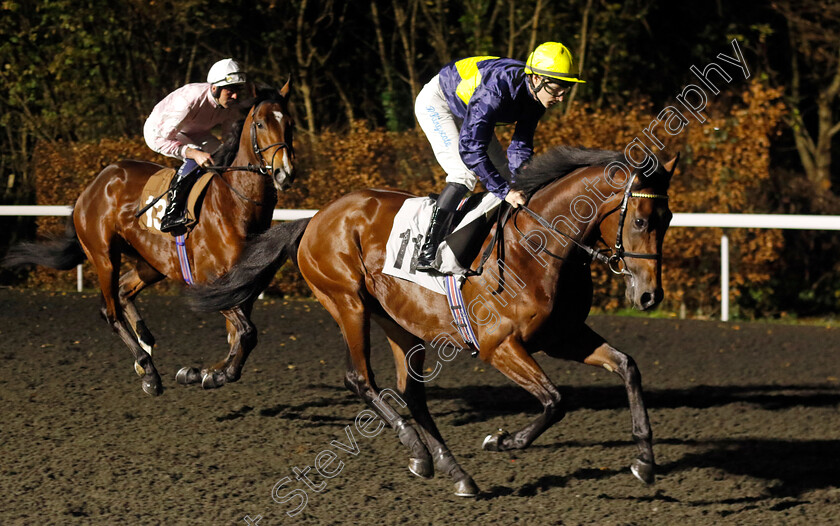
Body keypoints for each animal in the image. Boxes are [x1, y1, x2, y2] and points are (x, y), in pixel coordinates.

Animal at [2, 83, 298, 396]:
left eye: (290, 124)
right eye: (260, 123)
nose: (285, 173)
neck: (235, 204)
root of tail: (95, 183)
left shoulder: (244, 287)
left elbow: (238, 336)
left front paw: (205, 372)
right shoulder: (210, 281)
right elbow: (246, 332)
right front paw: (217, 373)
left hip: (152, 262)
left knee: (123, 292)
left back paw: (145, 348)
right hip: (104, 256)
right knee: (110, 311)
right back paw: (149, 372)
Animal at [189, 146, 676, 498]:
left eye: (668, 218)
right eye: (639, 220)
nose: (649, 296)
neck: (539, 249)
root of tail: (315, 218)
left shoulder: (562, 336)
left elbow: (628, 366)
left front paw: (644, 461)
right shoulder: (500, 346)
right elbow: (556, 401)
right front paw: (502, 441)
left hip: (401, 323)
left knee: (411, 393)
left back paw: (451, 470)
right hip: (347, 302)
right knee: (360, 379)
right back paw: (417, 448)